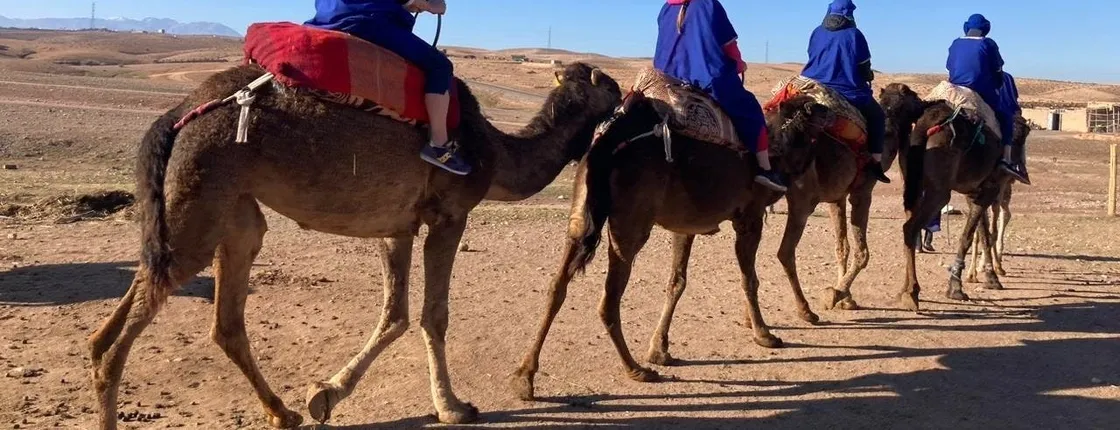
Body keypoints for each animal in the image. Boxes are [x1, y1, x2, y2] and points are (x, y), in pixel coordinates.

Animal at [86, 62, 622, 429]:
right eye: (611, 88)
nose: (629, 97)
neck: (494, 153)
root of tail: (177, 114)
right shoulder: (449, 214)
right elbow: (433, 315)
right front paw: (453, 407)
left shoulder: (397, 226)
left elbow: (395, 316)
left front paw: (324, 395)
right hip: (203, 188)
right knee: (128, 330)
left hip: (229, 207)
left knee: (207, 315)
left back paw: (282, 412)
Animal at [510, 92, 830, 400]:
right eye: (817, 113)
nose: (828, 111)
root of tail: (606, 146)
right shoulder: (749, 217)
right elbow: (749, 279)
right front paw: (765, 335)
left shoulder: (686, 226)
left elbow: (677, 282)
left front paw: (659, 350)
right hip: (631, 226)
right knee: (609, 299)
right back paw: (635, 369)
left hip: (580, 217)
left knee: (557, 286)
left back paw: (524, 378)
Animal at [879, 83, 1016, 310]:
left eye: (894, 105)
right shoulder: (989, 189)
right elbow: (969, 236)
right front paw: (956, 287)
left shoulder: (975, 191)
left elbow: (983, 232)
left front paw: (990, 277)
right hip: (940, 190)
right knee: (910, 227)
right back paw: (912, 292)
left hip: (912, 183)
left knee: (909, 224)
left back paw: (904, 291)